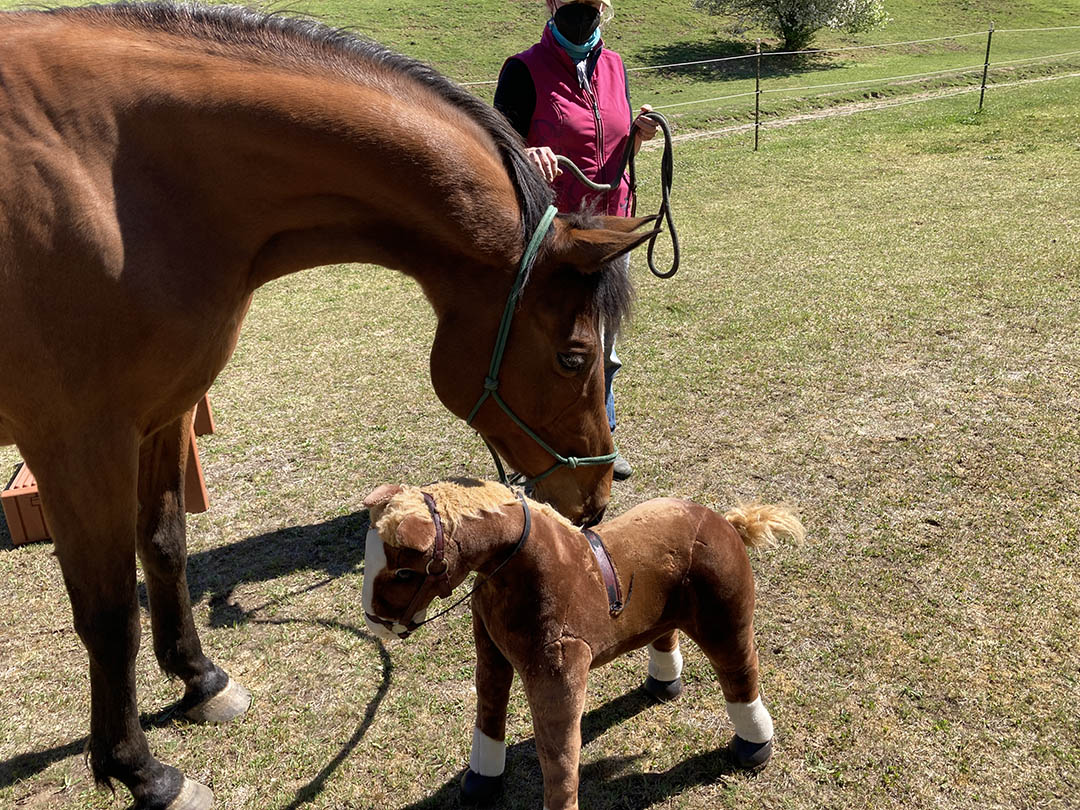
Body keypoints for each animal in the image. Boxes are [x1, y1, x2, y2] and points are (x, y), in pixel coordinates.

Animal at [0, 3, 656, 807]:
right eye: (575, 357)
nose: (595, 498)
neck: (120, 178)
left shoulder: (165, 414)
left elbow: (164, 548)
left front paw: (200, 681)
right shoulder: (77, 442)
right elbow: (108, 610)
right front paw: (139, 770)